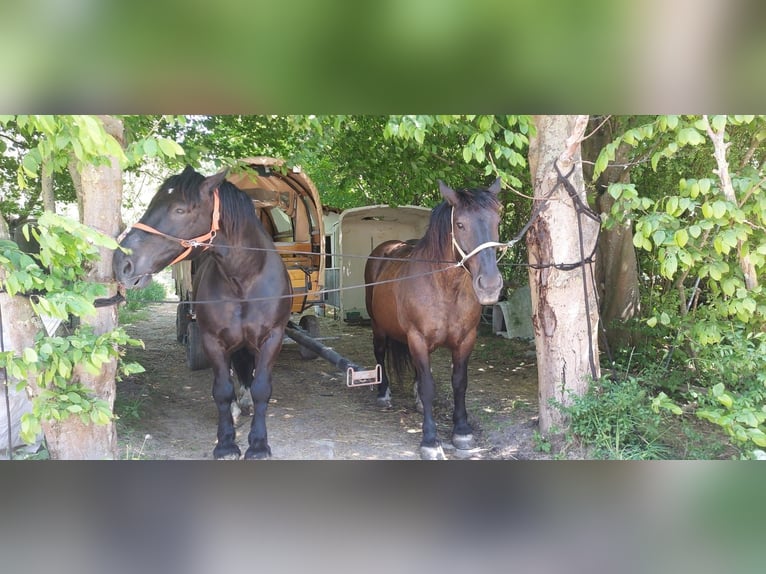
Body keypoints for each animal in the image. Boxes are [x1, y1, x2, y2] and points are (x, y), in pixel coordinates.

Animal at [113, 165, 292, 459]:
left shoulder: (272, 338)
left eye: (180, 209)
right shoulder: (213, 340)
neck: (245, 279)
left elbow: (261, 389)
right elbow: (222, 390)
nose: (121, 262)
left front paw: (258, 445)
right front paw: (226, 444)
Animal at [364, 178, 503, 460]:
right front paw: (430, 440)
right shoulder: (417, 338)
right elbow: (429, 387)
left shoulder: (465, 340)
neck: (445, 287)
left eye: (497, 220)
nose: (490, 285)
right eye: (460, 224)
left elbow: (459, 382)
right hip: (378, 327)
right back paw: (384, 394)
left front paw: (462, 431)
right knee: (380, 354)